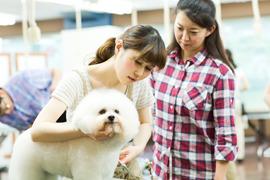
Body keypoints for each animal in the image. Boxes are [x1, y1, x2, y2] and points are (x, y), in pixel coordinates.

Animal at [8, 88, 139, 180]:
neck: (104, 147)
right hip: (29, 168)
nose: (111, 117)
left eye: (117, 111)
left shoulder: (106, 173)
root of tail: (22, 137)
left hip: (47, 171)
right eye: (102, 111)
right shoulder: (88, 171)